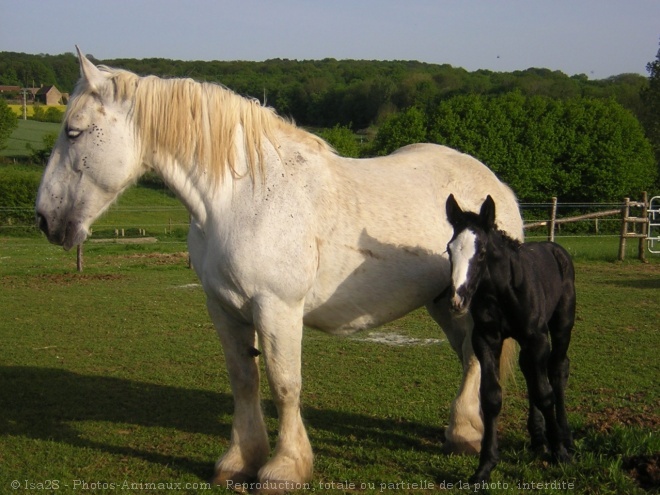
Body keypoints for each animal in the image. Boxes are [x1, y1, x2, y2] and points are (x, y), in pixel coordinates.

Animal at [36, 48, 524, 490]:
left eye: (74, 132)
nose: (45, 219)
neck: (240, 198)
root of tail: (496, 187)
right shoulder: (223, 309)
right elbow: (244, 380)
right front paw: (239, 461)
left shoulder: (277, 308)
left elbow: (285, 383)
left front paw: (284, 467)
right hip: (444, 301)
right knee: (470, 356)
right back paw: (468, 428)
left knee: (477, 356)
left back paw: (462, 435)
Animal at [444, 195, 576, 484]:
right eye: (449, 250)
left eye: (482, 252)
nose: (457, 301)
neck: (501, 291)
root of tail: (555, 247)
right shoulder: (486, 339)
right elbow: (491, 396)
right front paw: (485, 466)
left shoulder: (537, 338)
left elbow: (545, 394)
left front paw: (559, 452)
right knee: (531, 373)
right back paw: (538, 439)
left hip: (562, 324)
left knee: (557, 370)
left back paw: (566, 438)